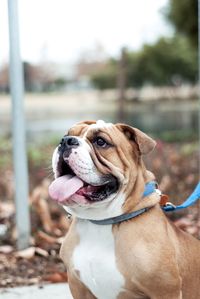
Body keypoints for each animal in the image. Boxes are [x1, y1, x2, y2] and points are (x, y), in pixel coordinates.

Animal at [48, 120, 200, 299]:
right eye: (66, 135)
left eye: (100, 142)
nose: (66, 141)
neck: (102, 222)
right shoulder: (78, 285)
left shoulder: (165, 289)